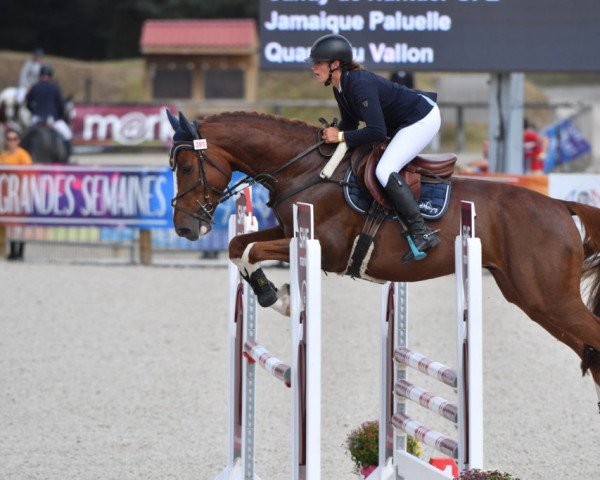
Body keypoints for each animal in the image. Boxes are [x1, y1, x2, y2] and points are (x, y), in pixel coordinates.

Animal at [165, 109, 600, 412]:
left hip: (550, 299)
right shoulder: (284, 231)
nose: (184, 227)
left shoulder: (325, 247)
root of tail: (560, 206)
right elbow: (238, 244)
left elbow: (250, 251)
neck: (307, 169)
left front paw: (279, 297)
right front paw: (276, 293)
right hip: (532, 301)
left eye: (185, 167)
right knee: (589, 350)